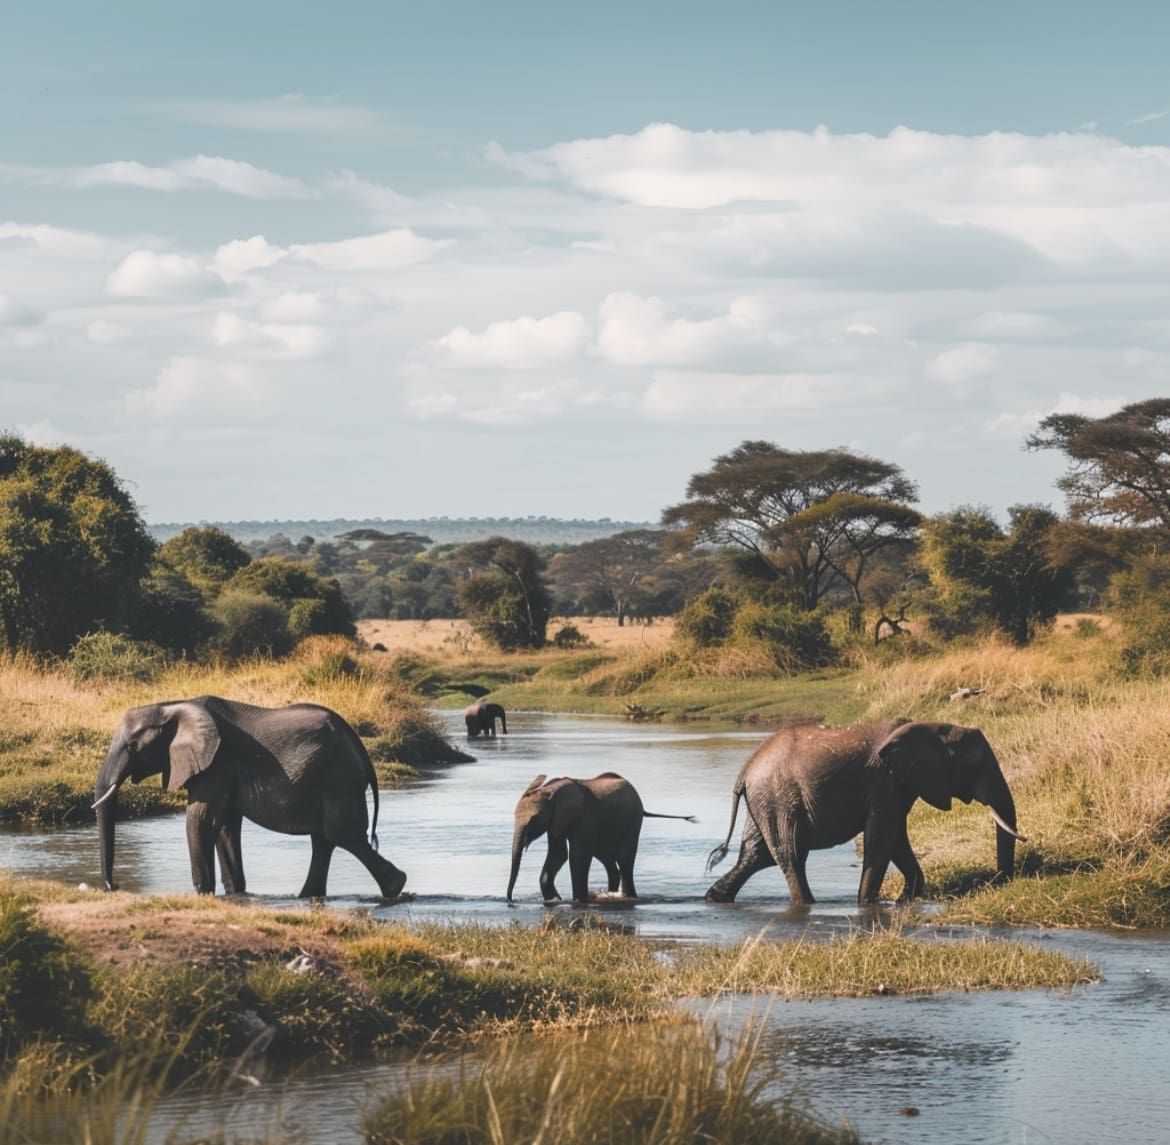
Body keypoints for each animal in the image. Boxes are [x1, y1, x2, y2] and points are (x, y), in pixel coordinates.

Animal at [90, 692, 407, 898]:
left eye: (131, 747)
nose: (114, 887)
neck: (172, 706)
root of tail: (358, 744)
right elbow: (225, 825)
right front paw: (236, 894)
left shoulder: (217, 762)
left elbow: (201, 819)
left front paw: (203, 895)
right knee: (325, 840)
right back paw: (307, 897)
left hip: (339, 776)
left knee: (343, 834)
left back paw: (395, 887)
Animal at [505, 776, 692, 907]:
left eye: (534, 819)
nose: (510, 901)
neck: (551, 789)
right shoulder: (556, 820)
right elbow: (558, 854)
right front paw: (555, 899)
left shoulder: (585, 818)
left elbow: (577, 856)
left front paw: (578, 901)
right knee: (609, 860)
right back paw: (611, 894)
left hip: (633, 820)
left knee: (625, 860)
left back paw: (627, 897)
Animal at [702, 720, 1024, 907]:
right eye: (976, 767)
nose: (999, 881)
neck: (934, 727)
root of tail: (745, 771)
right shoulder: (885, 781)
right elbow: (882, 837)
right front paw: (867, 904)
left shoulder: (899, 784)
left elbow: (895, 838)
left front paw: (905, 900)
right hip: (779, 798)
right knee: (790, 854)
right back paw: (808, 905)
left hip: (766, 800)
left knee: (756, 855)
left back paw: (714, 898)